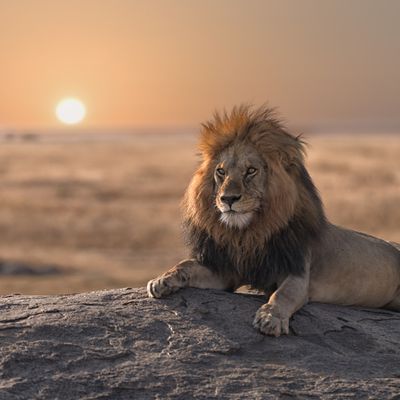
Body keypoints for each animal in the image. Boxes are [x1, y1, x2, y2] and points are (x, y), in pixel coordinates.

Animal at [146, 104, 400, 336]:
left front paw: (270, 319)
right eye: (221, 172)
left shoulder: (298, 273)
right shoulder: (228, 271)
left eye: (251, 170)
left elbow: (282, 295)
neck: (249, 233)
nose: (228, 198)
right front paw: (162, 280)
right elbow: (186, 265)